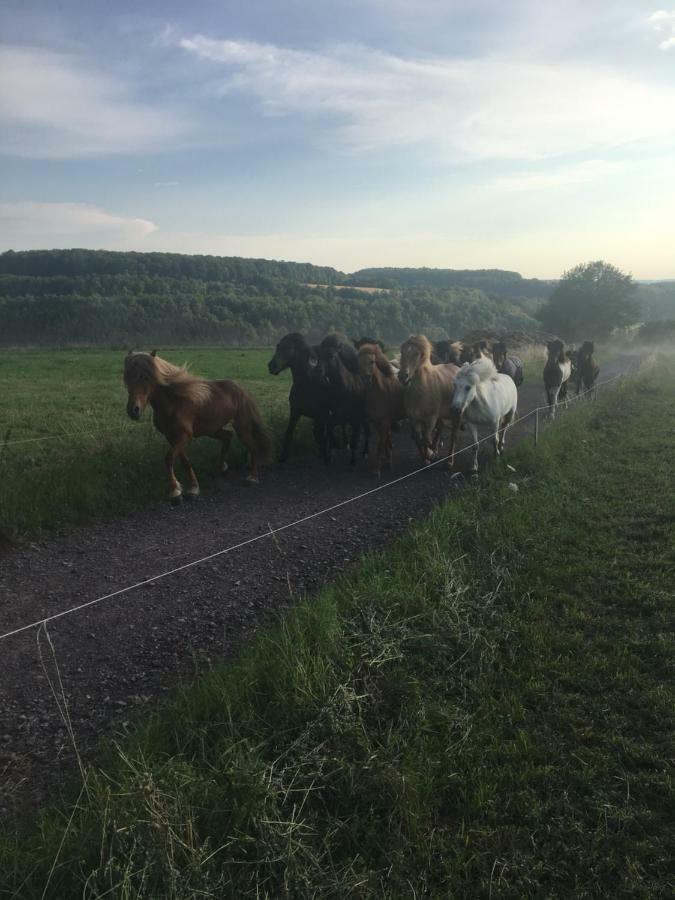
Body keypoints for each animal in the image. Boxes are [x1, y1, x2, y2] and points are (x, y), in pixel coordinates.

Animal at [124, 352, 272, 502]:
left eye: (146, 377)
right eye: (126, 376)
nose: (133, 411)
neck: (174, 403)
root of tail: (240, 389)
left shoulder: (184, 436)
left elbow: (169, 458)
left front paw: (175, 491)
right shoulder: (172, 437)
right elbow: (185, 461)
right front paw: (192, 488)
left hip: (241, 427)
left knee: (252, 447)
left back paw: (252, 477)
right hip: (211, 429)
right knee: (227, 436)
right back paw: (222, 468)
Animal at [356, 342, 404, 474]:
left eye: (372, 361)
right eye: (358, 361)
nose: (365, 379)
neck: (380, 392)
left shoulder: (385, 421)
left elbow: (380, 444)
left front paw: (378, 469)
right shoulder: (376, 422)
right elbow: (385, 440)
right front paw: (388, 460)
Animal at [396, 336, 460, 464]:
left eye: (416, 353)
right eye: (402, 351)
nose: (402, 376)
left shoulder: (430, 418)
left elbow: (425, 439)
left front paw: (430, 455)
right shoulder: (414, 419)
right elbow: (419, 439)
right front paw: (427, 457)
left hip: (455, 414)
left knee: (453, 435)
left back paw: (449, 461)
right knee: (440, 427)